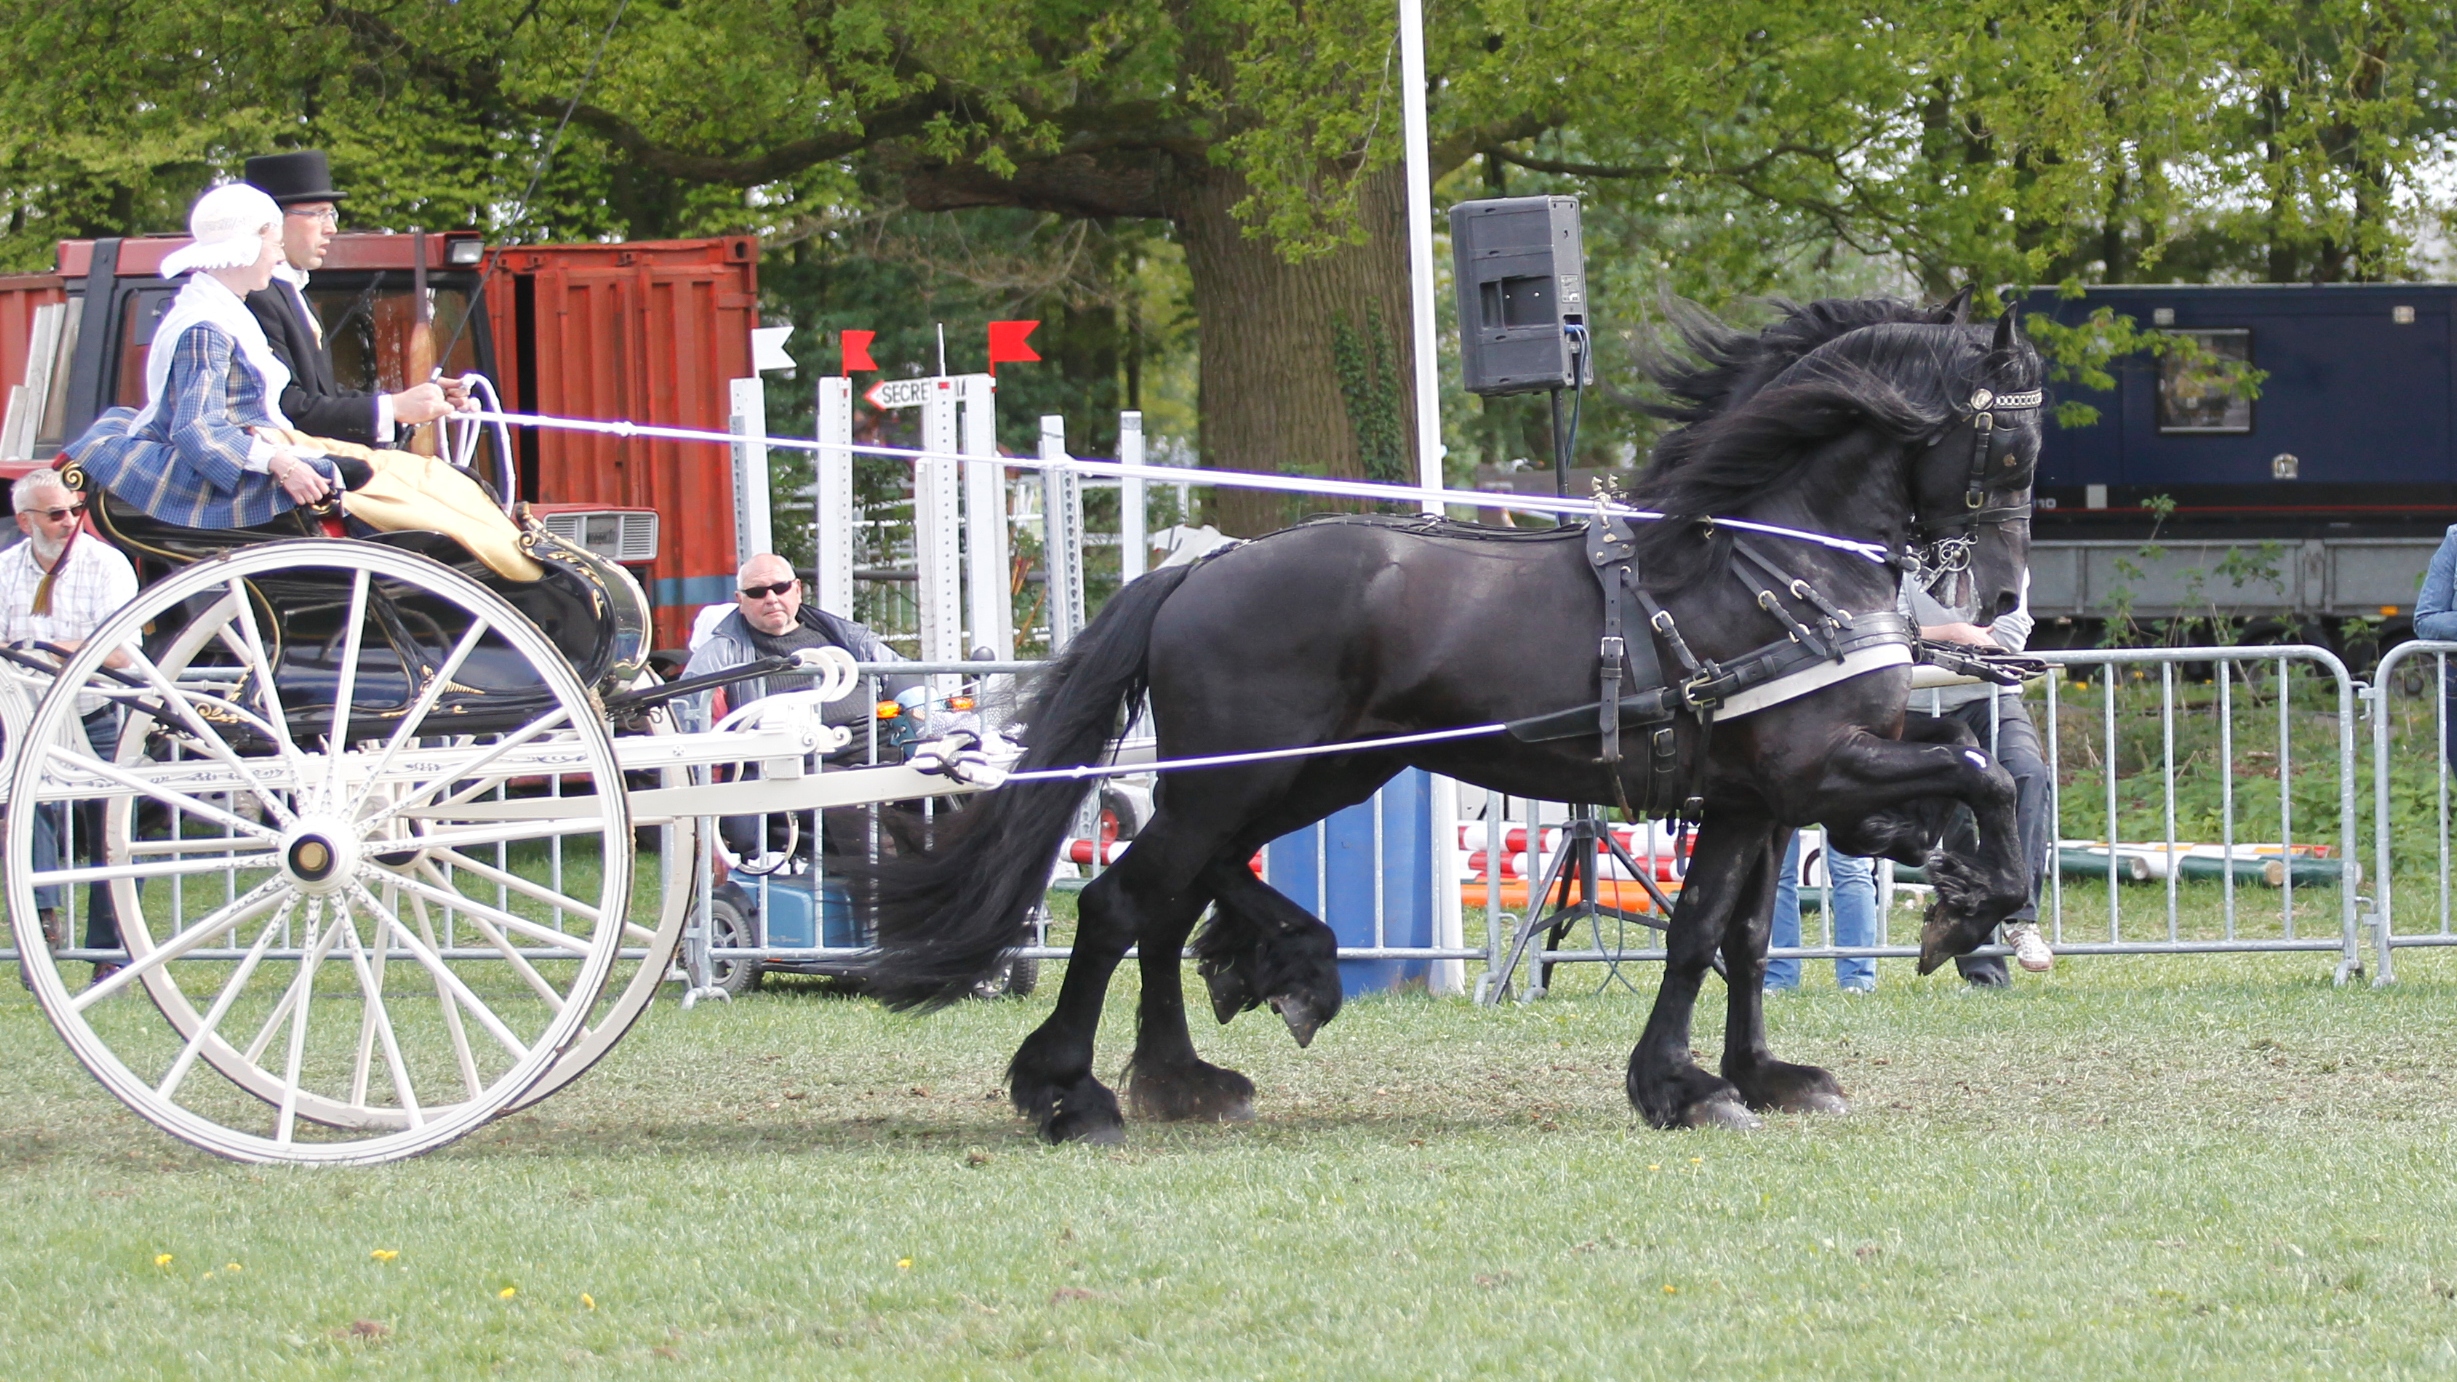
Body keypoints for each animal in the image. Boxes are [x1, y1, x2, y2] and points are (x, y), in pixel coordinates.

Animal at [874, 287, 2044, 1131]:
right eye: (2010, 449)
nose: (2002, 603)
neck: (1771, 559)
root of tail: (1205, 566)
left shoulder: (1761, 796)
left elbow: (1739, 933)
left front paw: (1752, 1070)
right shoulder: (1811, 768)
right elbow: (1971, 780)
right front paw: (1966, 906)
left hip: (1322, 772)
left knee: (1175, 895)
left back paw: (1217, 1041)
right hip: (1248, 776)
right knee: (1125, 900)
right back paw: (1074, 1090)